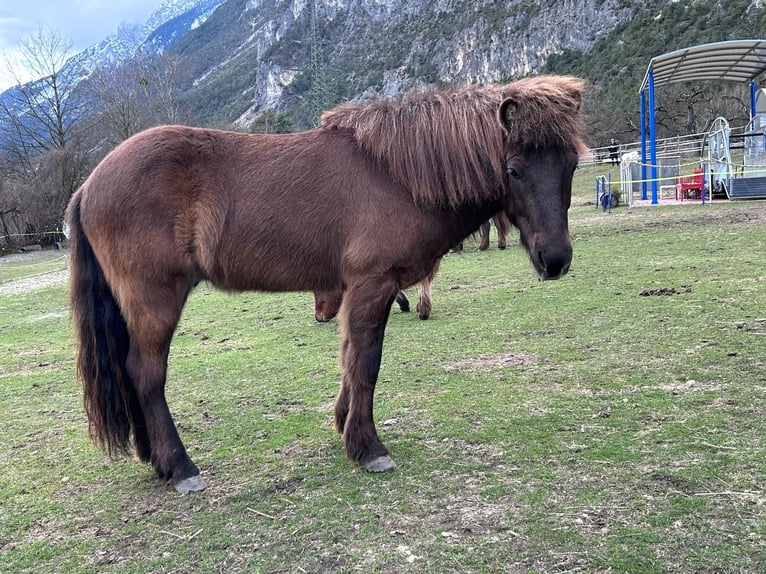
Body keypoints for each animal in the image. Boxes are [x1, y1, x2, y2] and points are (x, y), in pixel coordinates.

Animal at [67, 75, 587, 494]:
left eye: (572, 165)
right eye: (514, 169)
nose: (556, 260)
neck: (396, 174)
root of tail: (89, 184)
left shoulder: (355, 291)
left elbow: (349, 357)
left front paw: (343, 425)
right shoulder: (374, 285)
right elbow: (367, 362)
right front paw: (368, 446)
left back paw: (154, 459)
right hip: (155, 302)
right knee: (146, 374)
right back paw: (179, 467)